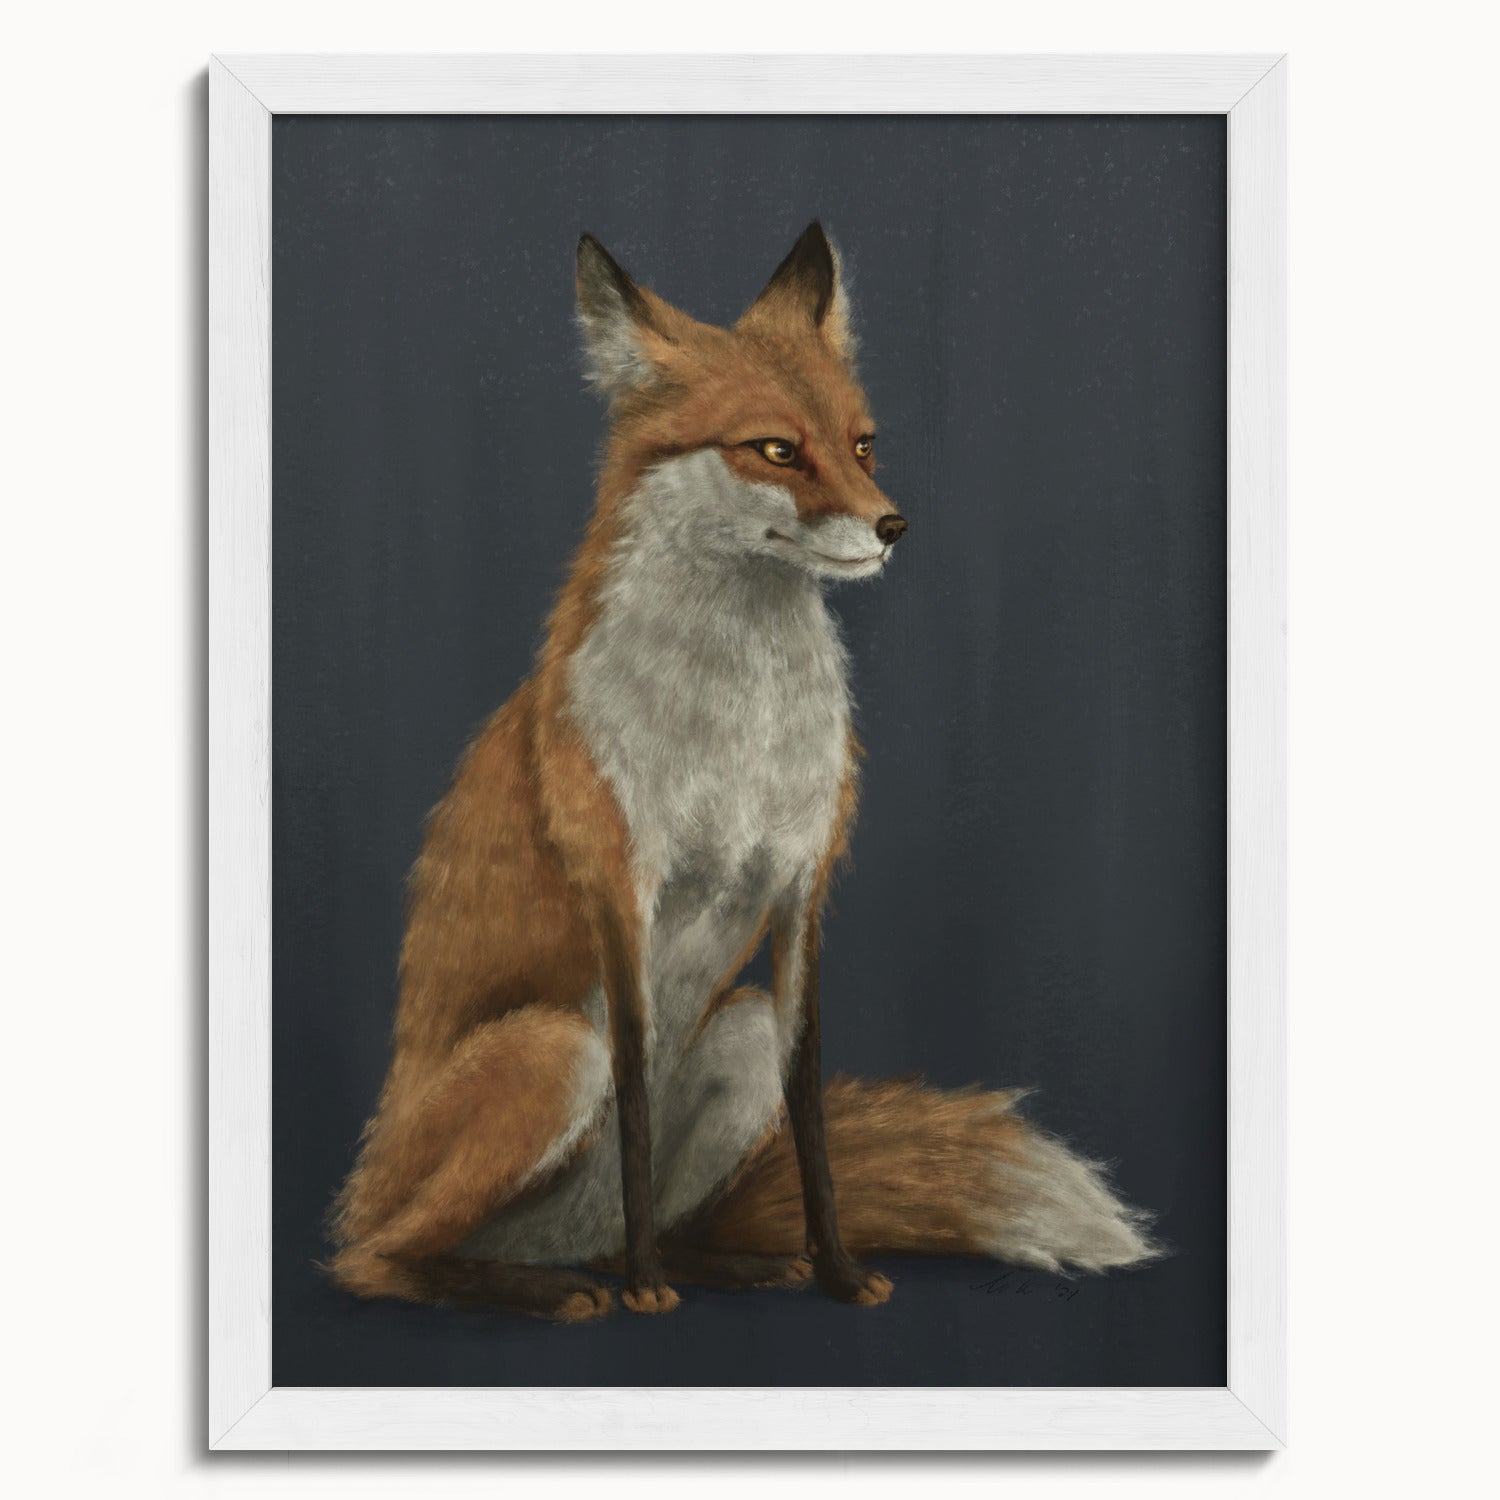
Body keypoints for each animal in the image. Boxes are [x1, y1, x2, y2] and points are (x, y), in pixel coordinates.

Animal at [327, 223, 1158, 1322]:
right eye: (775, 449)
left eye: (862, 444)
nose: (893, 526)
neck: (740, 731)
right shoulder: (621, 889)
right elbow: (636, 1100)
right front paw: (647, 1292)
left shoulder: (802, 888)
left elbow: (810, 1113)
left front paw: (837, 1271)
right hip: (551, 1051)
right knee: (377, 1259)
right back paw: (556, 1287)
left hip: (738, 1032)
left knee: (630, 1221)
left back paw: (717, 1263)